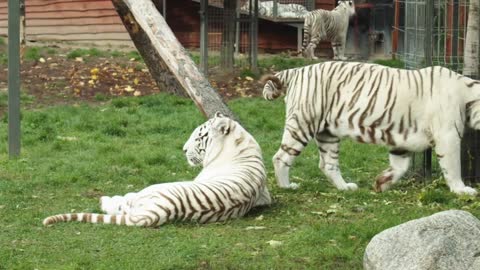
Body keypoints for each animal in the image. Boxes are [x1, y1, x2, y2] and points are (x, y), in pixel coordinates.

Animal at [42, 112, 270, 228]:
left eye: (198, 137)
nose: (183, 149)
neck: (241, 143)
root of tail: (162, 210)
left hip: (150, 190)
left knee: (124, 204)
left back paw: (105, 200)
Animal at [260, 61, 480, 195]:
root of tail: (296, 71)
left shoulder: (403, 139)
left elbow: (400, 166)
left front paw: (382, 182)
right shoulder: (448, 137)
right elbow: (453, 167)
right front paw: (461, 190)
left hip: (327, 133)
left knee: (327, 164)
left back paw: (345, 187)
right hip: (303, 124)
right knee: (280, 157)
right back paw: (287, 186)